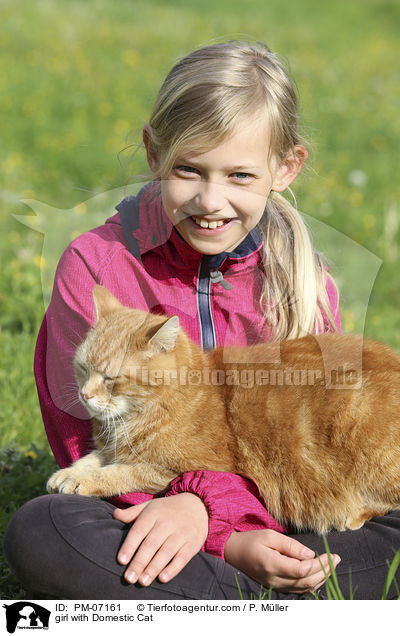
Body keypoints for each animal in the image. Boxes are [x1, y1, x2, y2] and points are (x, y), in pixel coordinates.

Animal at [47, 286, 400, 536]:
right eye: (82, 368)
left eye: (110, 378)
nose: (84, 394)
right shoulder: (112, 448)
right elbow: (92, 458)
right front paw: (67, 473)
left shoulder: (187, 468)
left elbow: (122, 471)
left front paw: (84, 480)